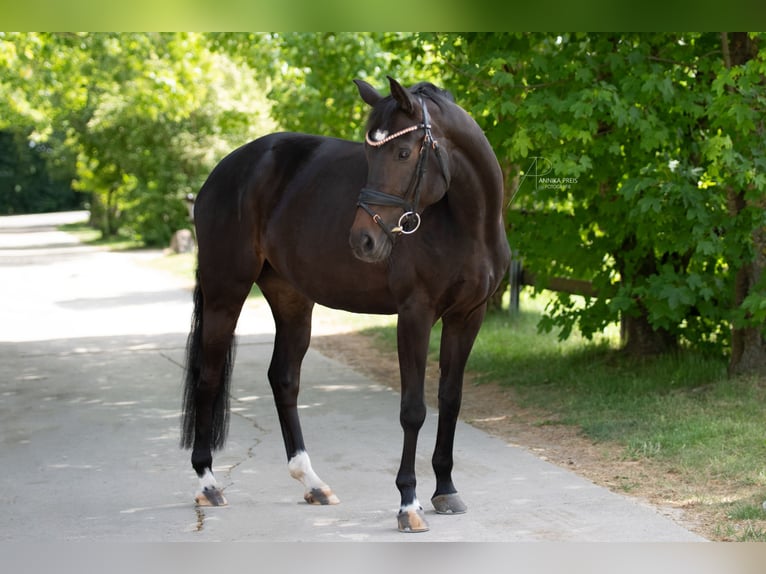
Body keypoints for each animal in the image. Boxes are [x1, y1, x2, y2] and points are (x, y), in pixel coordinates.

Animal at [181, 76, 511, 533]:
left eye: (403, 152)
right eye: (370, 155)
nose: (363, 240)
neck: (468, 224)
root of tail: (222, 171)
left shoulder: (468, 317)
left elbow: (451, 399)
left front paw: (445, 489)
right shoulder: (415, 314)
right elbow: (413, 409)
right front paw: (408, 503)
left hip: (291, 298)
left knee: (283, 378)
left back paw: (313, 483)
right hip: (225, 290)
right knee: (209, 378)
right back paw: (208, 483)